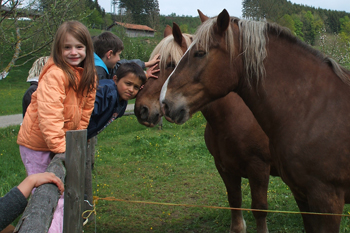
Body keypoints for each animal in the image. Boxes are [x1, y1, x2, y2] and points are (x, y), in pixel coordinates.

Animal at [135, 21, 278, 233]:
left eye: (170, 64)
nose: (141, 109)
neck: (233, 116)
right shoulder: (224, 168)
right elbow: (234, 203)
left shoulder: (259, 168)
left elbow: (260, 210)